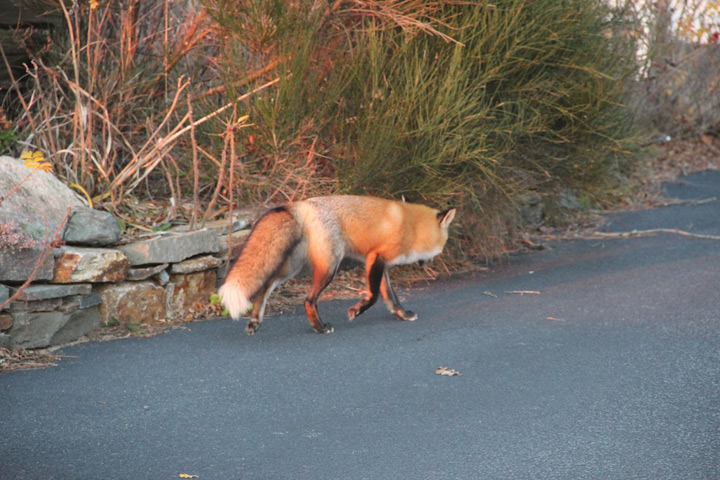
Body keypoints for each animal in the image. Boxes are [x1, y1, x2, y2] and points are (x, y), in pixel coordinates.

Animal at [218, 194, 456, 334]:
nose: (428, 263)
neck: (411, 227)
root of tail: (301, 204)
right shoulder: (376, 257)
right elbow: (373, 296)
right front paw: (356, 311)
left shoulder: (379, 262)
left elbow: (391, 297)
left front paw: (402, 314)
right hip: (330, 266)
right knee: (308, 300)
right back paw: (320, 327)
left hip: (291, 268)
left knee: (264, 287)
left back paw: (255, 322)